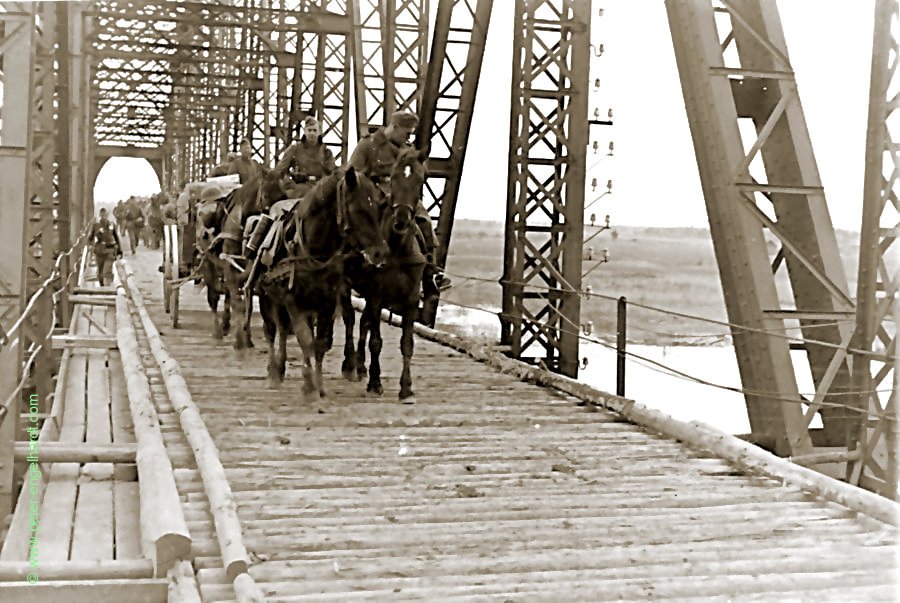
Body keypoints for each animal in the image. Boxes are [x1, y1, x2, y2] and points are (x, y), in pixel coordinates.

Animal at [198, 168, 288, 352]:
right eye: (265, 196)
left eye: (284, 195)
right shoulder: (229, 265)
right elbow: (238, 303)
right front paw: (239, 340)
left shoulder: (250, 270)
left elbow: (246, 303)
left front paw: (247, 337)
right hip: (209, 263)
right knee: (214, 297)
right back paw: (218, 331)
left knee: (226, 295)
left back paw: (226, 325)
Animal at [256, 168, 390, 398]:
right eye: (358, 208)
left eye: (380, 208)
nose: (380, 253)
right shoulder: (293, 301)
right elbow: (305, 339)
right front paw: (308, 385)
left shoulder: (327, 300)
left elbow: (319, 343)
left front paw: (318, 384)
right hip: (267, 297)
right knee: (273, 331)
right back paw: (274, 372)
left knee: (283, 329)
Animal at [342, 146, 430, 404]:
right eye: (394, 177)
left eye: (420, 179)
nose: (401, 220)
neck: (398, 249)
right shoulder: (376, 297)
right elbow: (376, 342)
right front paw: (375, 382)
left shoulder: (411, 300)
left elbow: (407, 343)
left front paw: (406, 387)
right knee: (350, 319)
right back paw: (350, 365)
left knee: (363, 322)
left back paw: (360, 366)